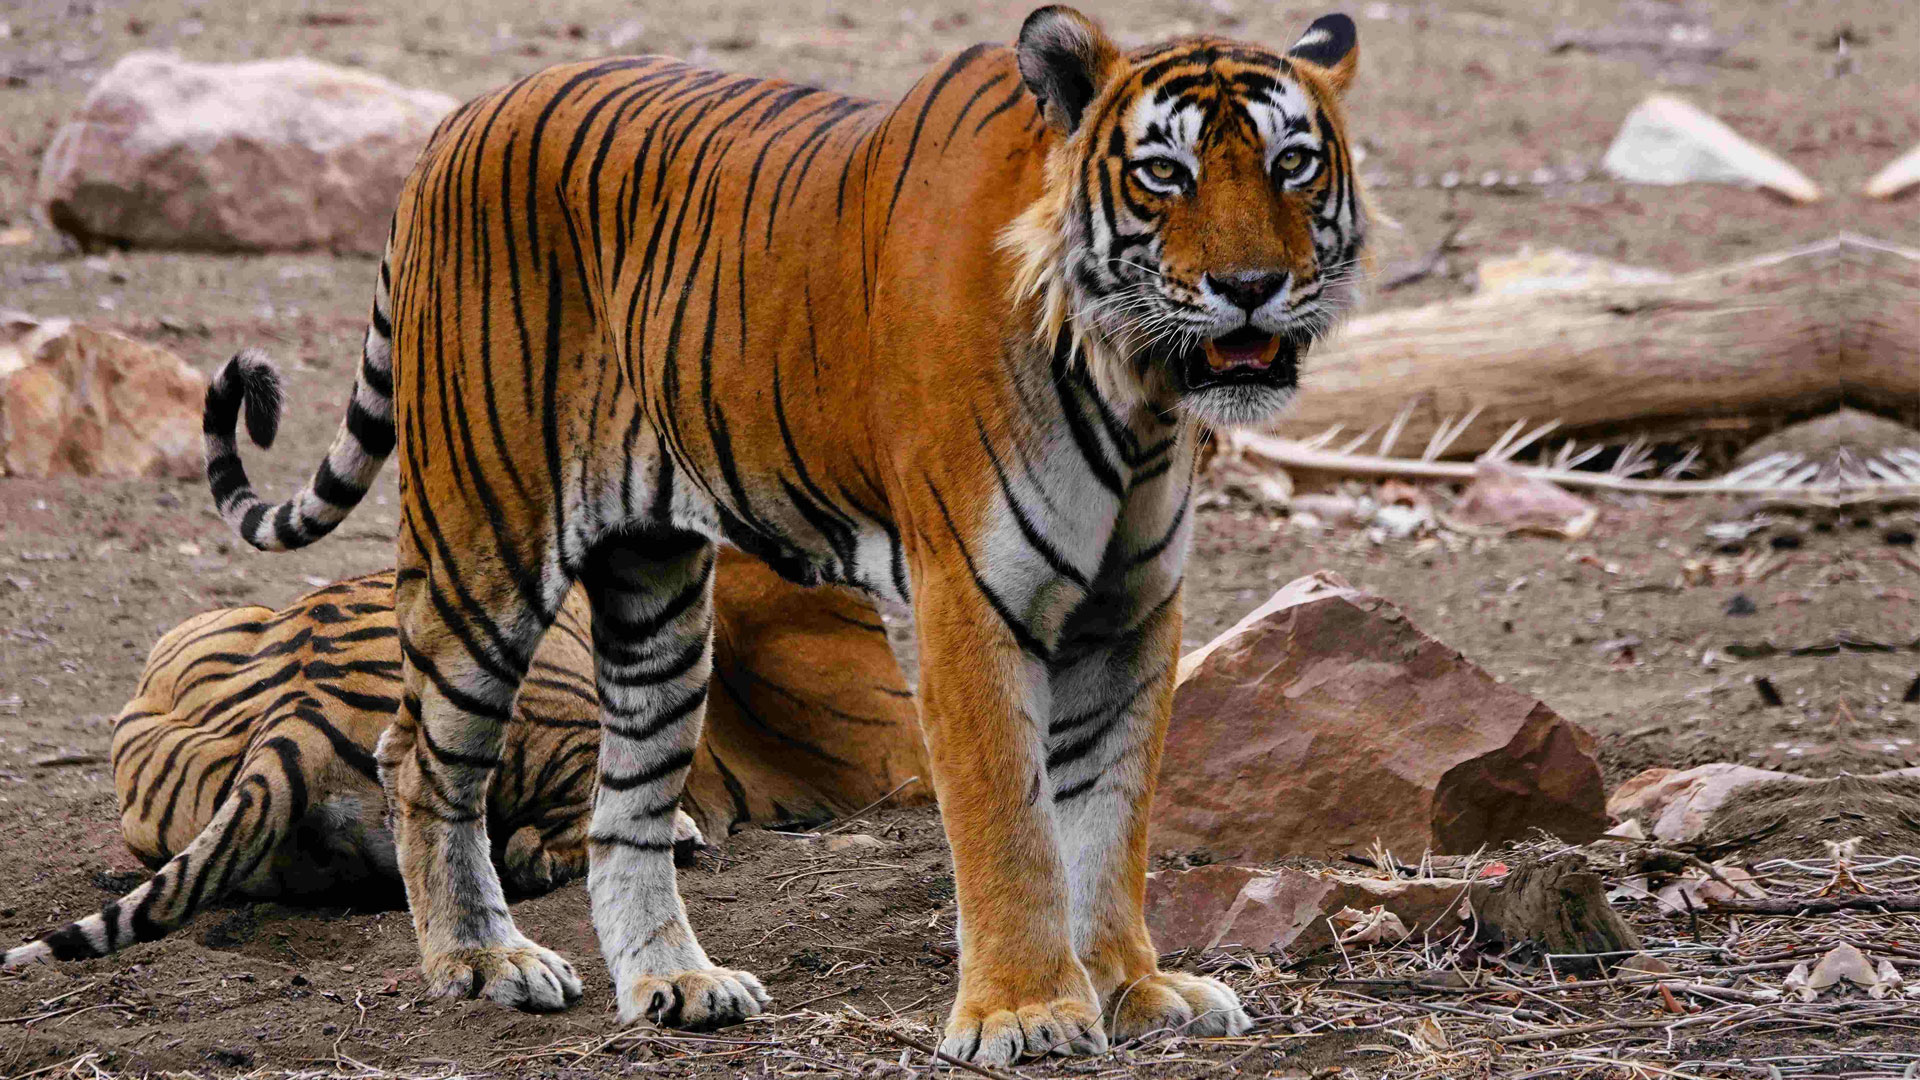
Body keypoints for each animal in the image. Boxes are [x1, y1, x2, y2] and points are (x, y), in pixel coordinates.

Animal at [195, 5, 1367, 1064]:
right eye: (1164, 173)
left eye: (1293, 164)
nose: (1251, 288)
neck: (1135, 390)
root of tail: (458, 120)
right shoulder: (967, 599)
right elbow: (1013, 822)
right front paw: (1027, 1013)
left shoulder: (1131, 611)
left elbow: (1111, 819)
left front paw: (1135, 992)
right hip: (485, 540)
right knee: (420, 758)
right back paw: (484, 962)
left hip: (658, 596)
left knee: (626, 810)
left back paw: (676, 983)